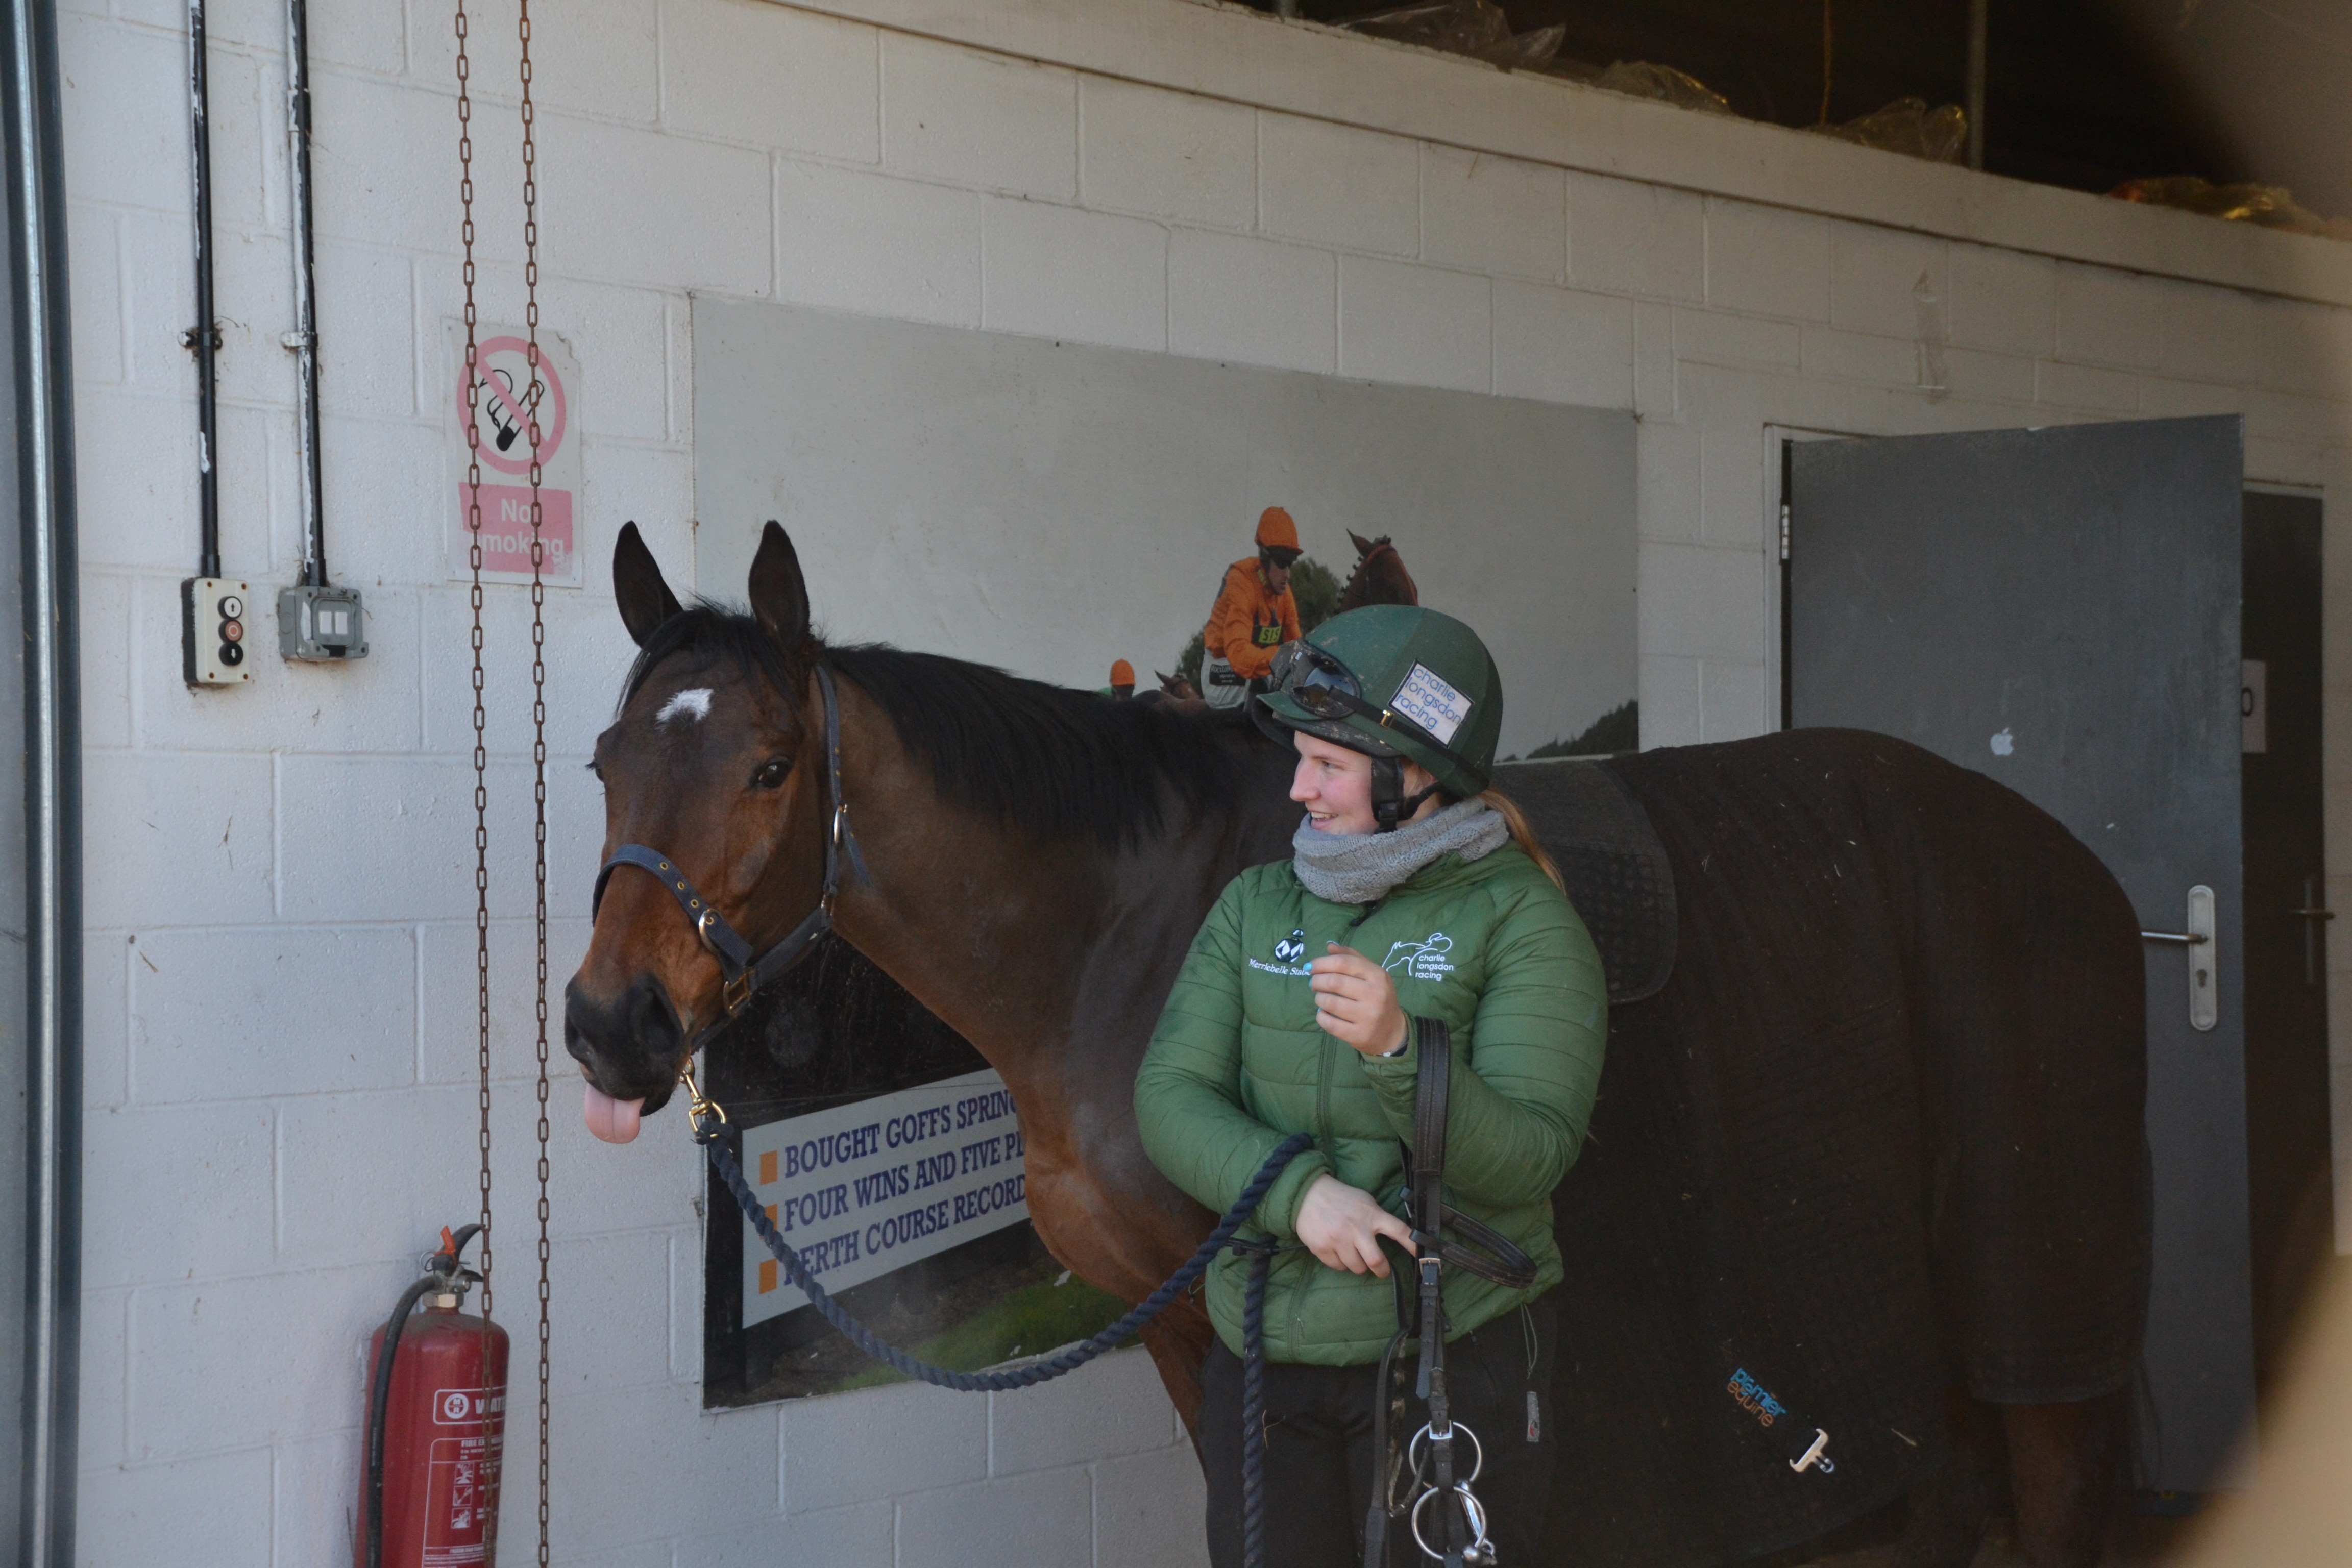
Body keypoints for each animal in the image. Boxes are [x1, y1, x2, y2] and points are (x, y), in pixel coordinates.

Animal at [569, 526, 2154, 1568]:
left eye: (770, 767)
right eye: (604, 759)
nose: (609, 1025)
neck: (1120, 932)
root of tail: (2072, 867)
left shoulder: (1246, 1326)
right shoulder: (1194, 1332)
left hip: (2038, 1309)